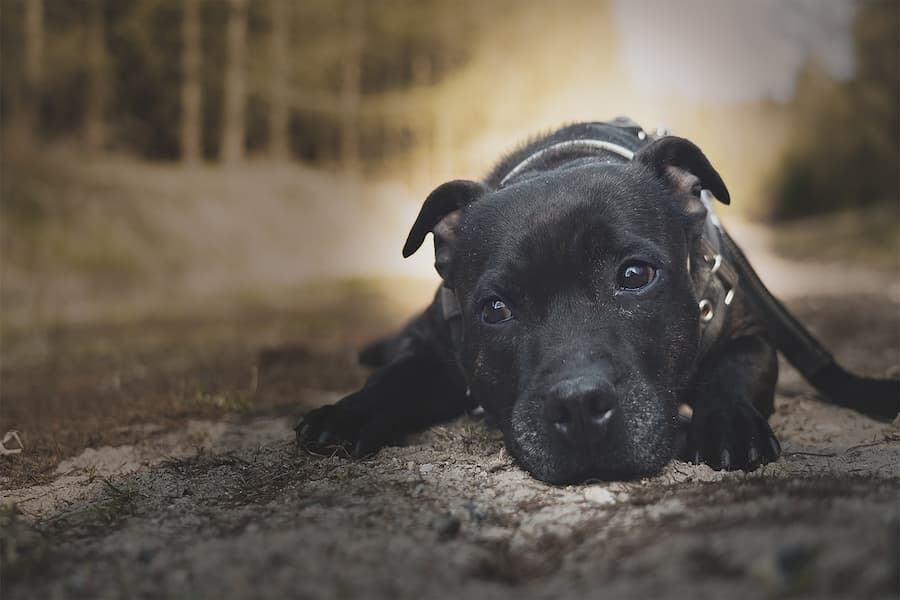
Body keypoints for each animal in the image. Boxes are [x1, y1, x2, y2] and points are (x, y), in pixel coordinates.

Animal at [298, 119, 900, 486]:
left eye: (635, 275)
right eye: (494, 309)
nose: (579, 405)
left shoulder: (747, 332)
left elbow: (731, 372)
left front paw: (729, 424)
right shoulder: (438, 349)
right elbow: (397, 377)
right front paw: (347, 414)